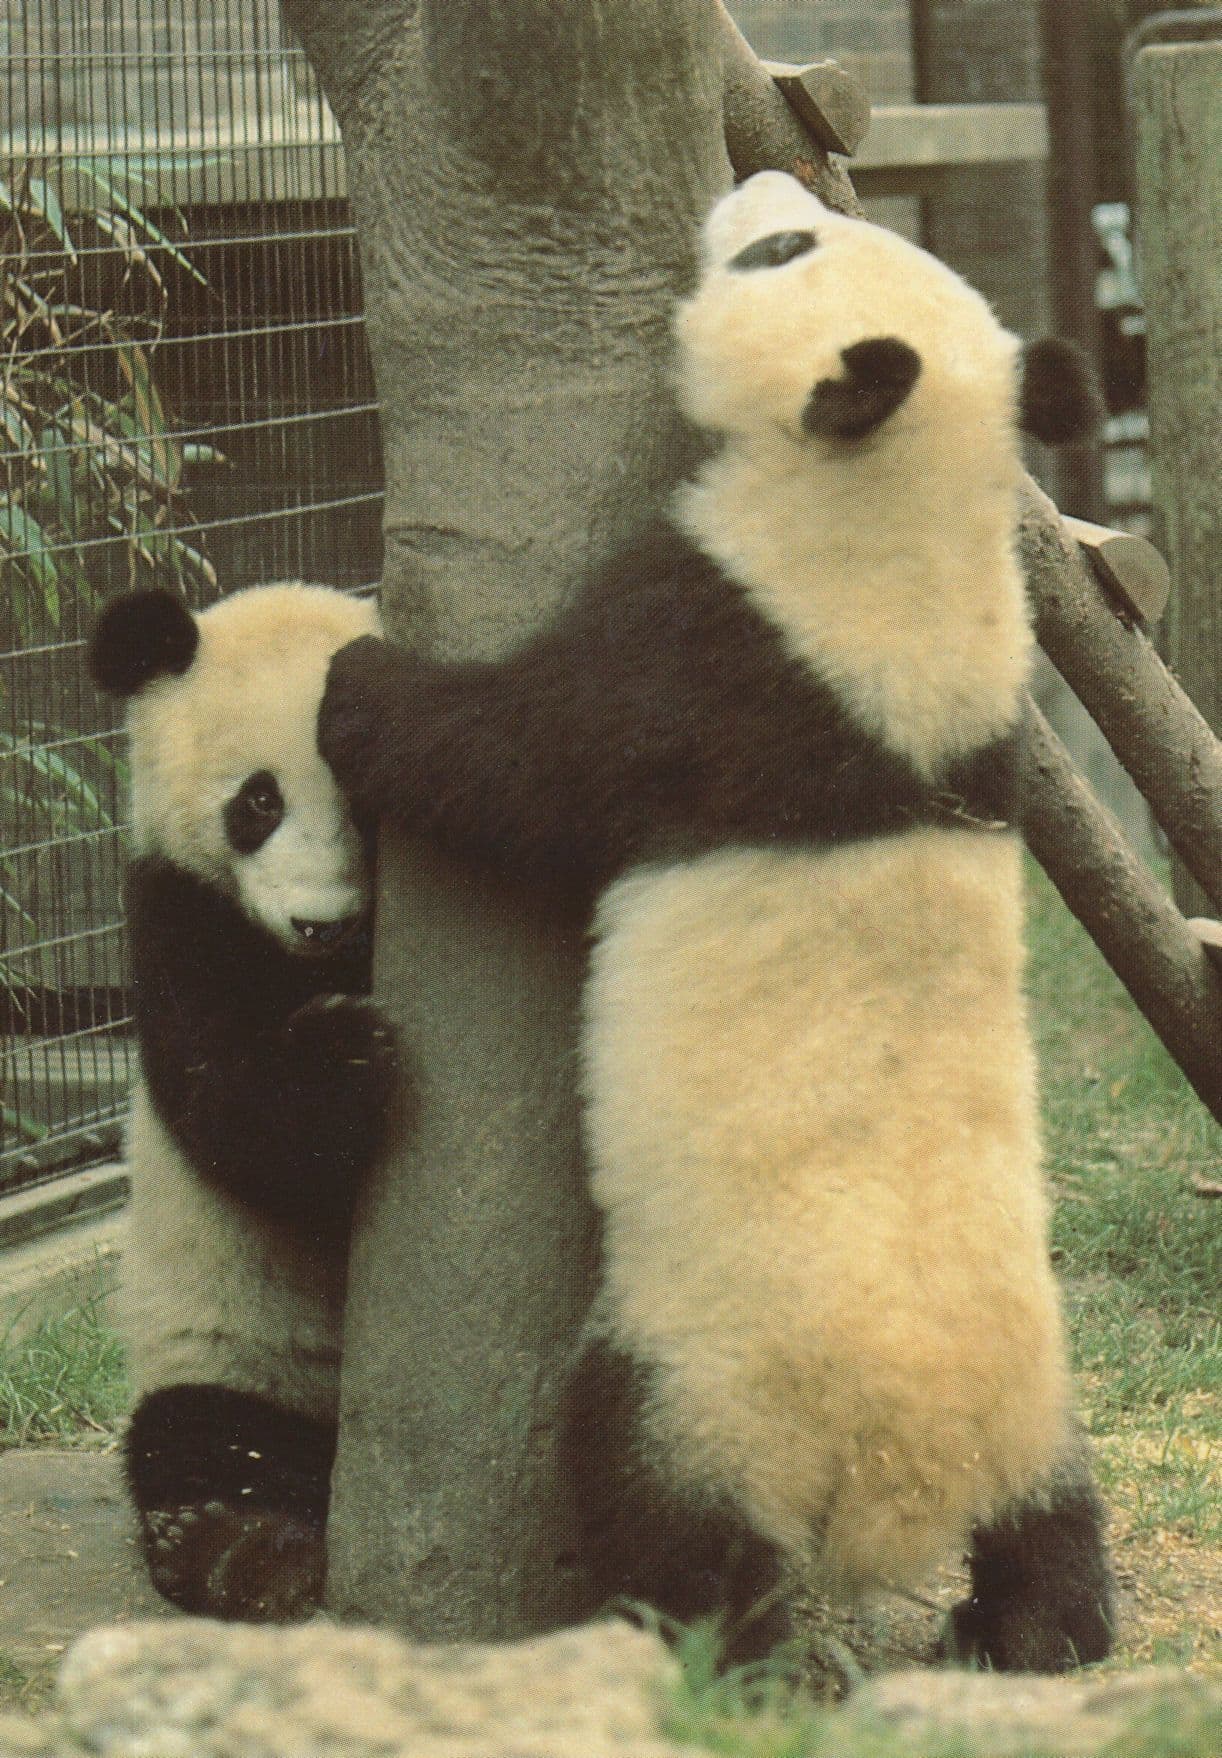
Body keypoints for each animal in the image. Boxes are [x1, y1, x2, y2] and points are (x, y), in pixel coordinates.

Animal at [88, 582, 400, 1621]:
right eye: (256, 802)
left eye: (365, 801)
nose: (320, 922)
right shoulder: (175, 916)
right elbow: (229, 1112)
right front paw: (343, 1060)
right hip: (234, 1345)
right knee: (206, 1437)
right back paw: (240, 1546)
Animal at [315, 171, 1113, 1671]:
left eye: (781, 251)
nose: (759, 184)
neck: (909, 509)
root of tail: (902, 1470)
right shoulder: (977, 720)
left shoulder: (728, 653)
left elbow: (523, 767)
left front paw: (357, 678)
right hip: (1033, 1372)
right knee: (1052, 1512)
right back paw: (1036, 1632)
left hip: (709, 1371)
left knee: (661, 1500)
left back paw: (716, 1650)